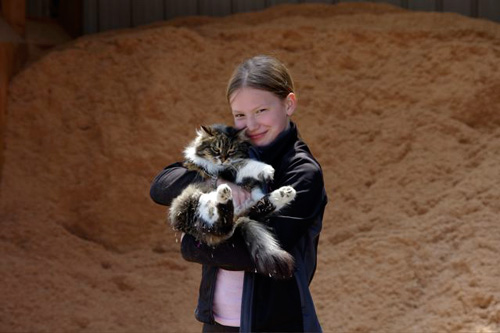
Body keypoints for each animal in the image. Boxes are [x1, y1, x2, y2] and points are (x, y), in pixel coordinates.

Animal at [170, 124, 296, 278]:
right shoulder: (224, 171)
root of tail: (238, 219)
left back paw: (285, 193)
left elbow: (242, 163)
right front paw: (267, 169)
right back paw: (222, 195)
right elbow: (243, 164)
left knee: (250, 211)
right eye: (216, 149)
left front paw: (266, 172)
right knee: (219, 223)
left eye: (231, 151)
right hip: (190, 199)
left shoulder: (233, 172)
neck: (221, 166)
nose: (223, 159)